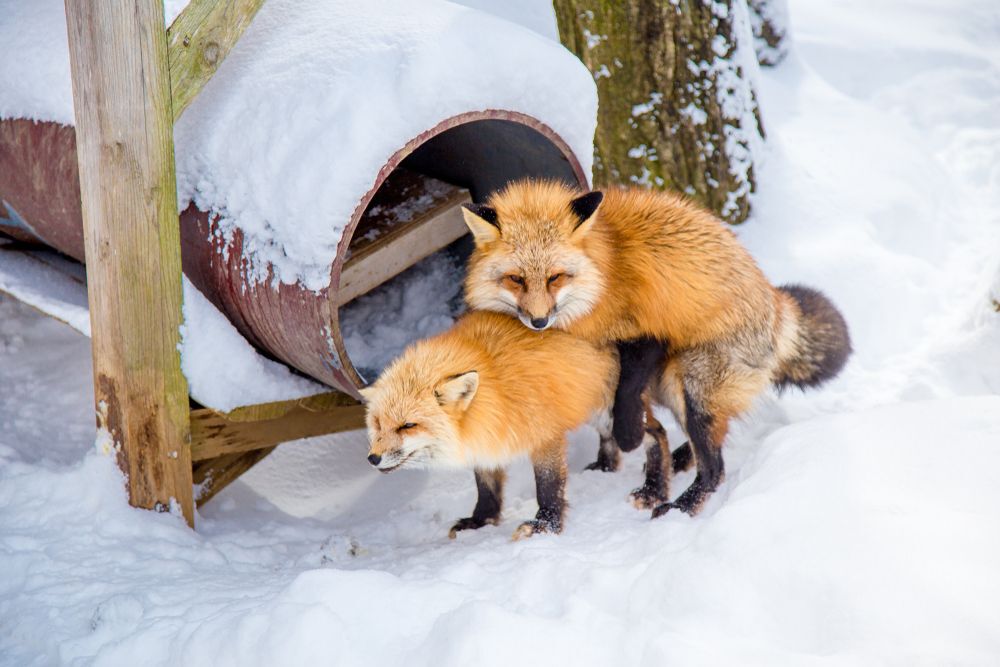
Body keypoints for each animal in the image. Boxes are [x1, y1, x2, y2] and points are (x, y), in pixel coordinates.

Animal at [359, 309, 673, 539]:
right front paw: (480, 520)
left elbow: (548, 487)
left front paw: (545, 525)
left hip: (610, 413)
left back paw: (653, 491)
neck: (495, 386)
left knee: (658, 433)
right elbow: (486, 488)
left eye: (408, 425)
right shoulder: (485, 438)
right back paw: (606, 467)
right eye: (377, 423)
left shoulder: (545, 435)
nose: (373, 459)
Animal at [461, 180, 852, 517]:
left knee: (715, 467)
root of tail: (774, 302)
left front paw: (628, 435)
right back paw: (677, 464)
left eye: (556, 277)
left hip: (690, 385)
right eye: (516, 279)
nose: (539, 322)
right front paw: (611, 458)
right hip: (672, 385)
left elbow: (626, 394)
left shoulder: (650, 329)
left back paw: (681, 505)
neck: (604, 271)